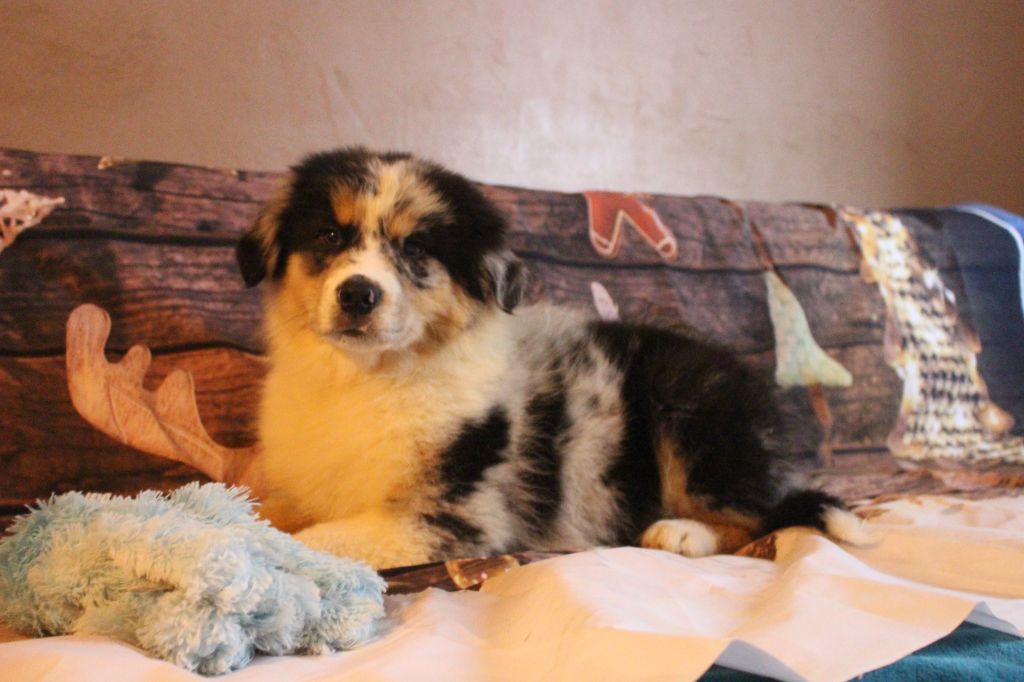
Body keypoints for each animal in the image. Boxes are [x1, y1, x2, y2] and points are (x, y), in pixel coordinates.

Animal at [236, 148, 869, 569]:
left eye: (416, 249)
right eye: (329, 236)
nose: (358, 294)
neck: (367, 377)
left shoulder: (456, 516)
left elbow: (311, 540)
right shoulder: (297, 487)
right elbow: (263, 509)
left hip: (691, 409)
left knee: (757, 515)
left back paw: (682, 533)